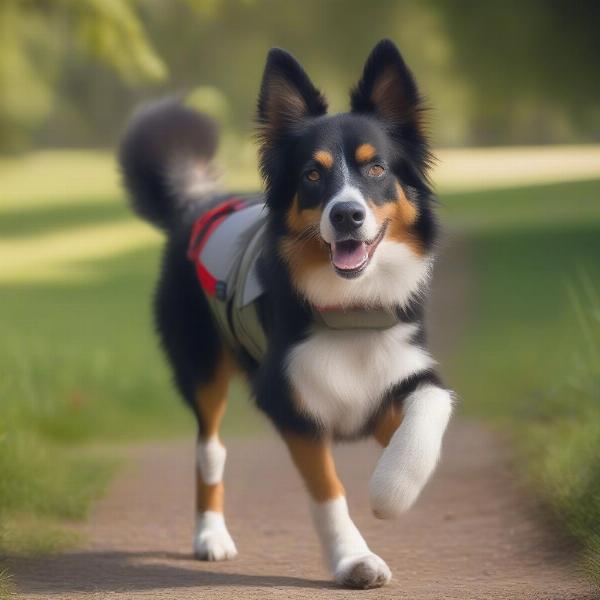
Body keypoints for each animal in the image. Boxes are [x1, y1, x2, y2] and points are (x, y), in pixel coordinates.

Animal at [119, 39, 452, 588]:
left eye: (376, 168)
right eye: (312, 175)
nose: (346, 214)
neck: (350, 310)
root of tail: (199, 202)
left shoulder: (390, 383)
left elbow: (429, 408)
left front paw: (391, 490)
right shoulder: (290, 401)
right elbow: (328, 491)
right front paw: (354, 559)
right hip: (202, 368)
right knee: (210, 451)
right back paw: (210, 536)